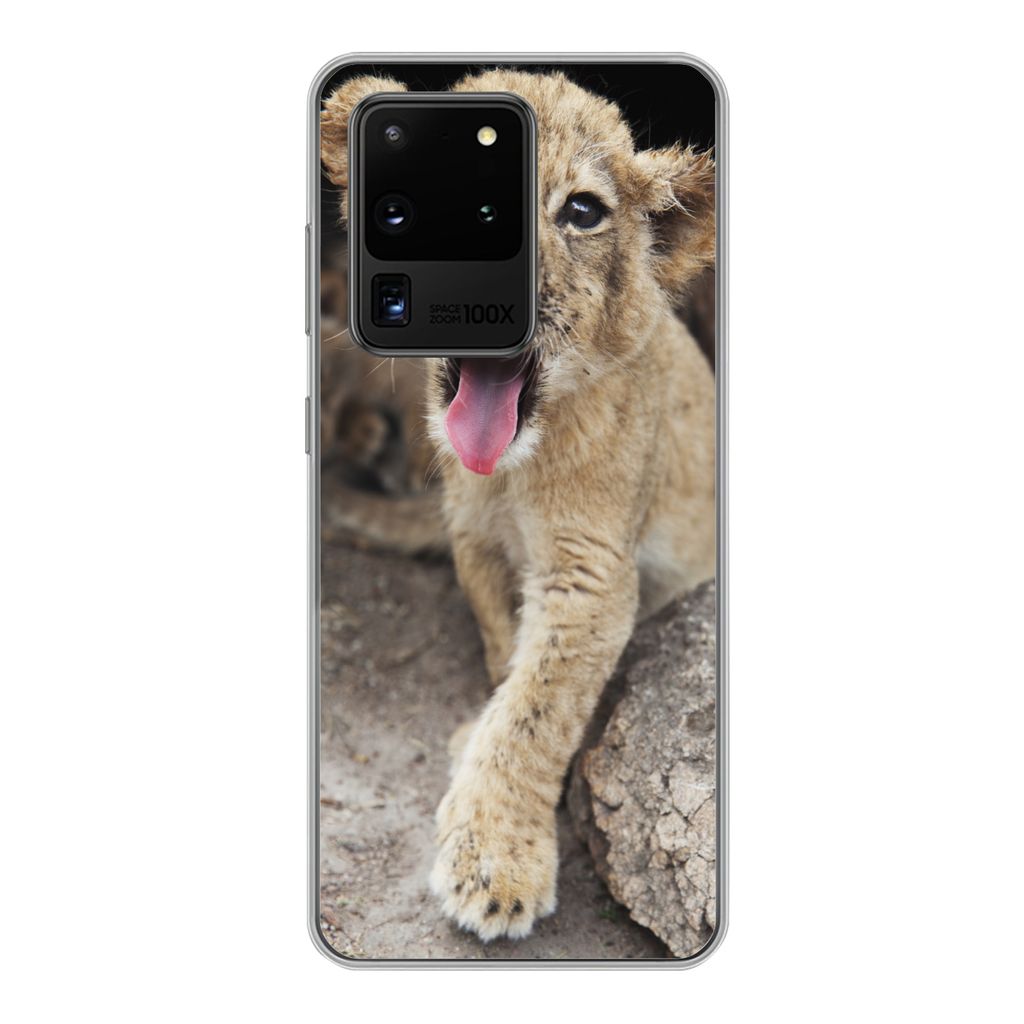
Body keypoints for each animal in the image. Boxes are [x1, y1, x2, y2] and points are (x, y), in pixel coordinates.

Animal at [320, 69, 716, 941]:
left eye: (582, 211)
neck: (509, 475)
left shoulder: (592, 574)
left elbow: (537, 710)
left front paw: (495, 860)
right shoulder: (476, 543)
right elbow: (508, 657)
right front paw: (479, 745)